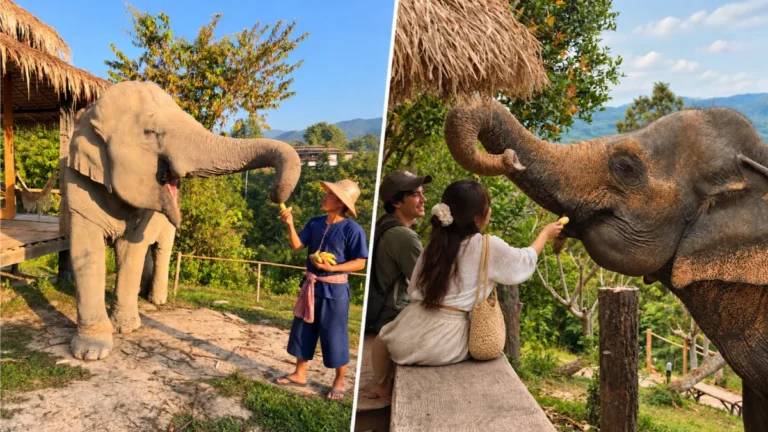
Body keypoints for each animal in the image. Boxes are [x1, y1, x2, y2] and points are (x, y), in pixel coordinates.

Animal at [63, 81, 301, 361]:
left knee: (160, 250)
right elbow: (86, 251)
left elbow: (130, 250)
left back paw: (156, 300)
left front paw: (127, 329)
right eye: (151, 131)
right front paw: (91, 353)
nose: (276, 194)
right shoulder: (76, 185)